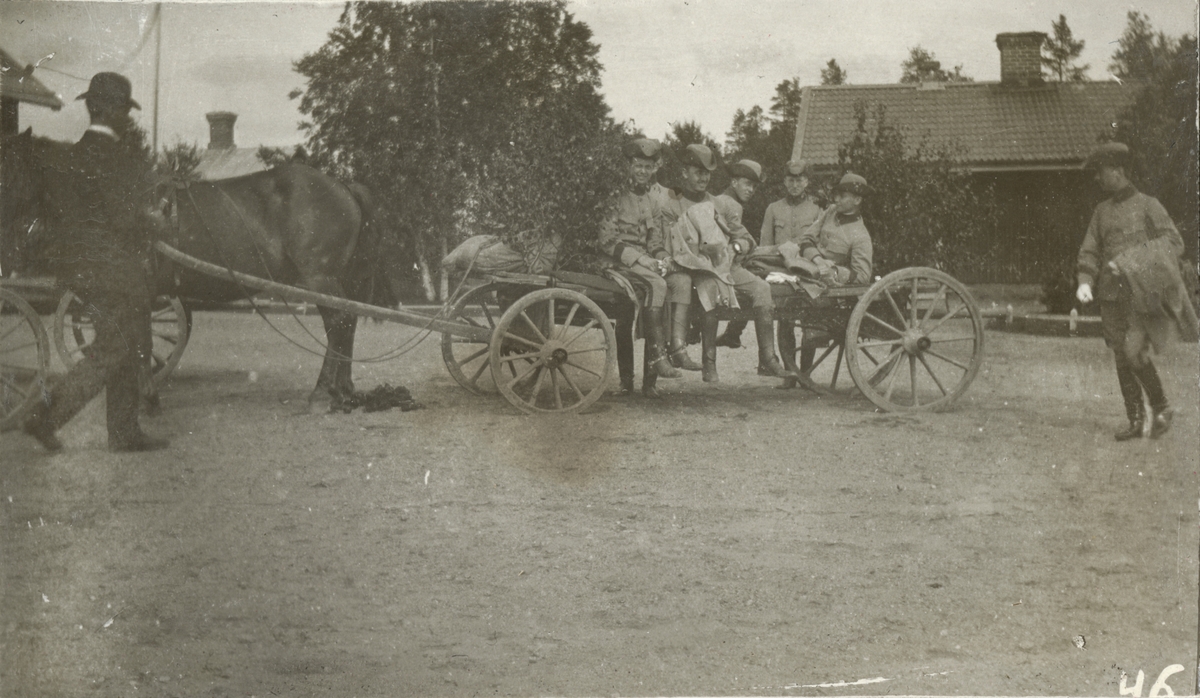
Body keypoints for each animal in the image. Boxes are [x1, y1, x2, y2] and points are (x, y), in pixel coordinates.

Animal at [0, 130, 381, 412]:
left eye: (10, 168)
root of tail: (342, 185)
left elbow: (139, 342)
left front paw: (146, 398)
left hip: (319, 277)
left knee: (338, 323)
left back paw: (323, 393)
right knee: (346, 322)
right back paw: (343, 391)